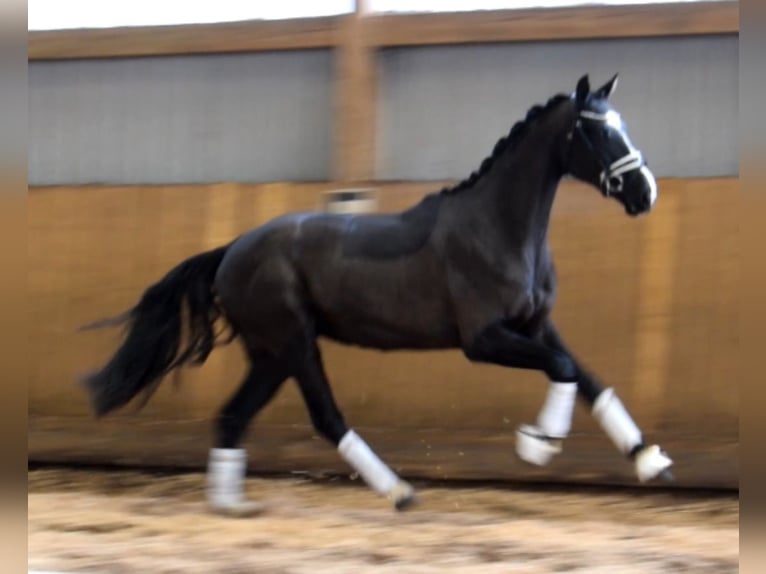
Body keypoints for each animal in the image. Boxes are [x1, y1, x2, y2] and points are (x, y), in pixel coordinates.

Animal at [81, 74, 676, 520]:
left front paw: (648, 459)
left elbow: (587, 377)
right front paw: (539, 443)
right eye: (593, 131)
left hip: (270, 355)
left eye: (621, 124)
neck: (499, 228)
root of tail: (231, 251)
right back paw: (398, 491)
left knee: (232, 417)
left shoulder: (535, 325)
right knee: (325, 416)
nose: (645, 192)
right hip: (294, 343)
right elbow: (564, 369)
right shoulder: (483, 339)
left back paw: (232, 506)